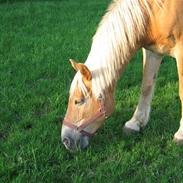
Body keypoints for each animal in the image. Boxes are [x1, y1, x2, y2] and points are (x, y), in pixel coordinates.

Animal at [61, 0, 183, 152]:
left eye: (79, 101)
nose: (66, 140)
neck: (155, 13)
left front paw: (180, 134)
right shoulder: (153, 51)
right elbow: (146, 87)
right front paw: (135, 123)